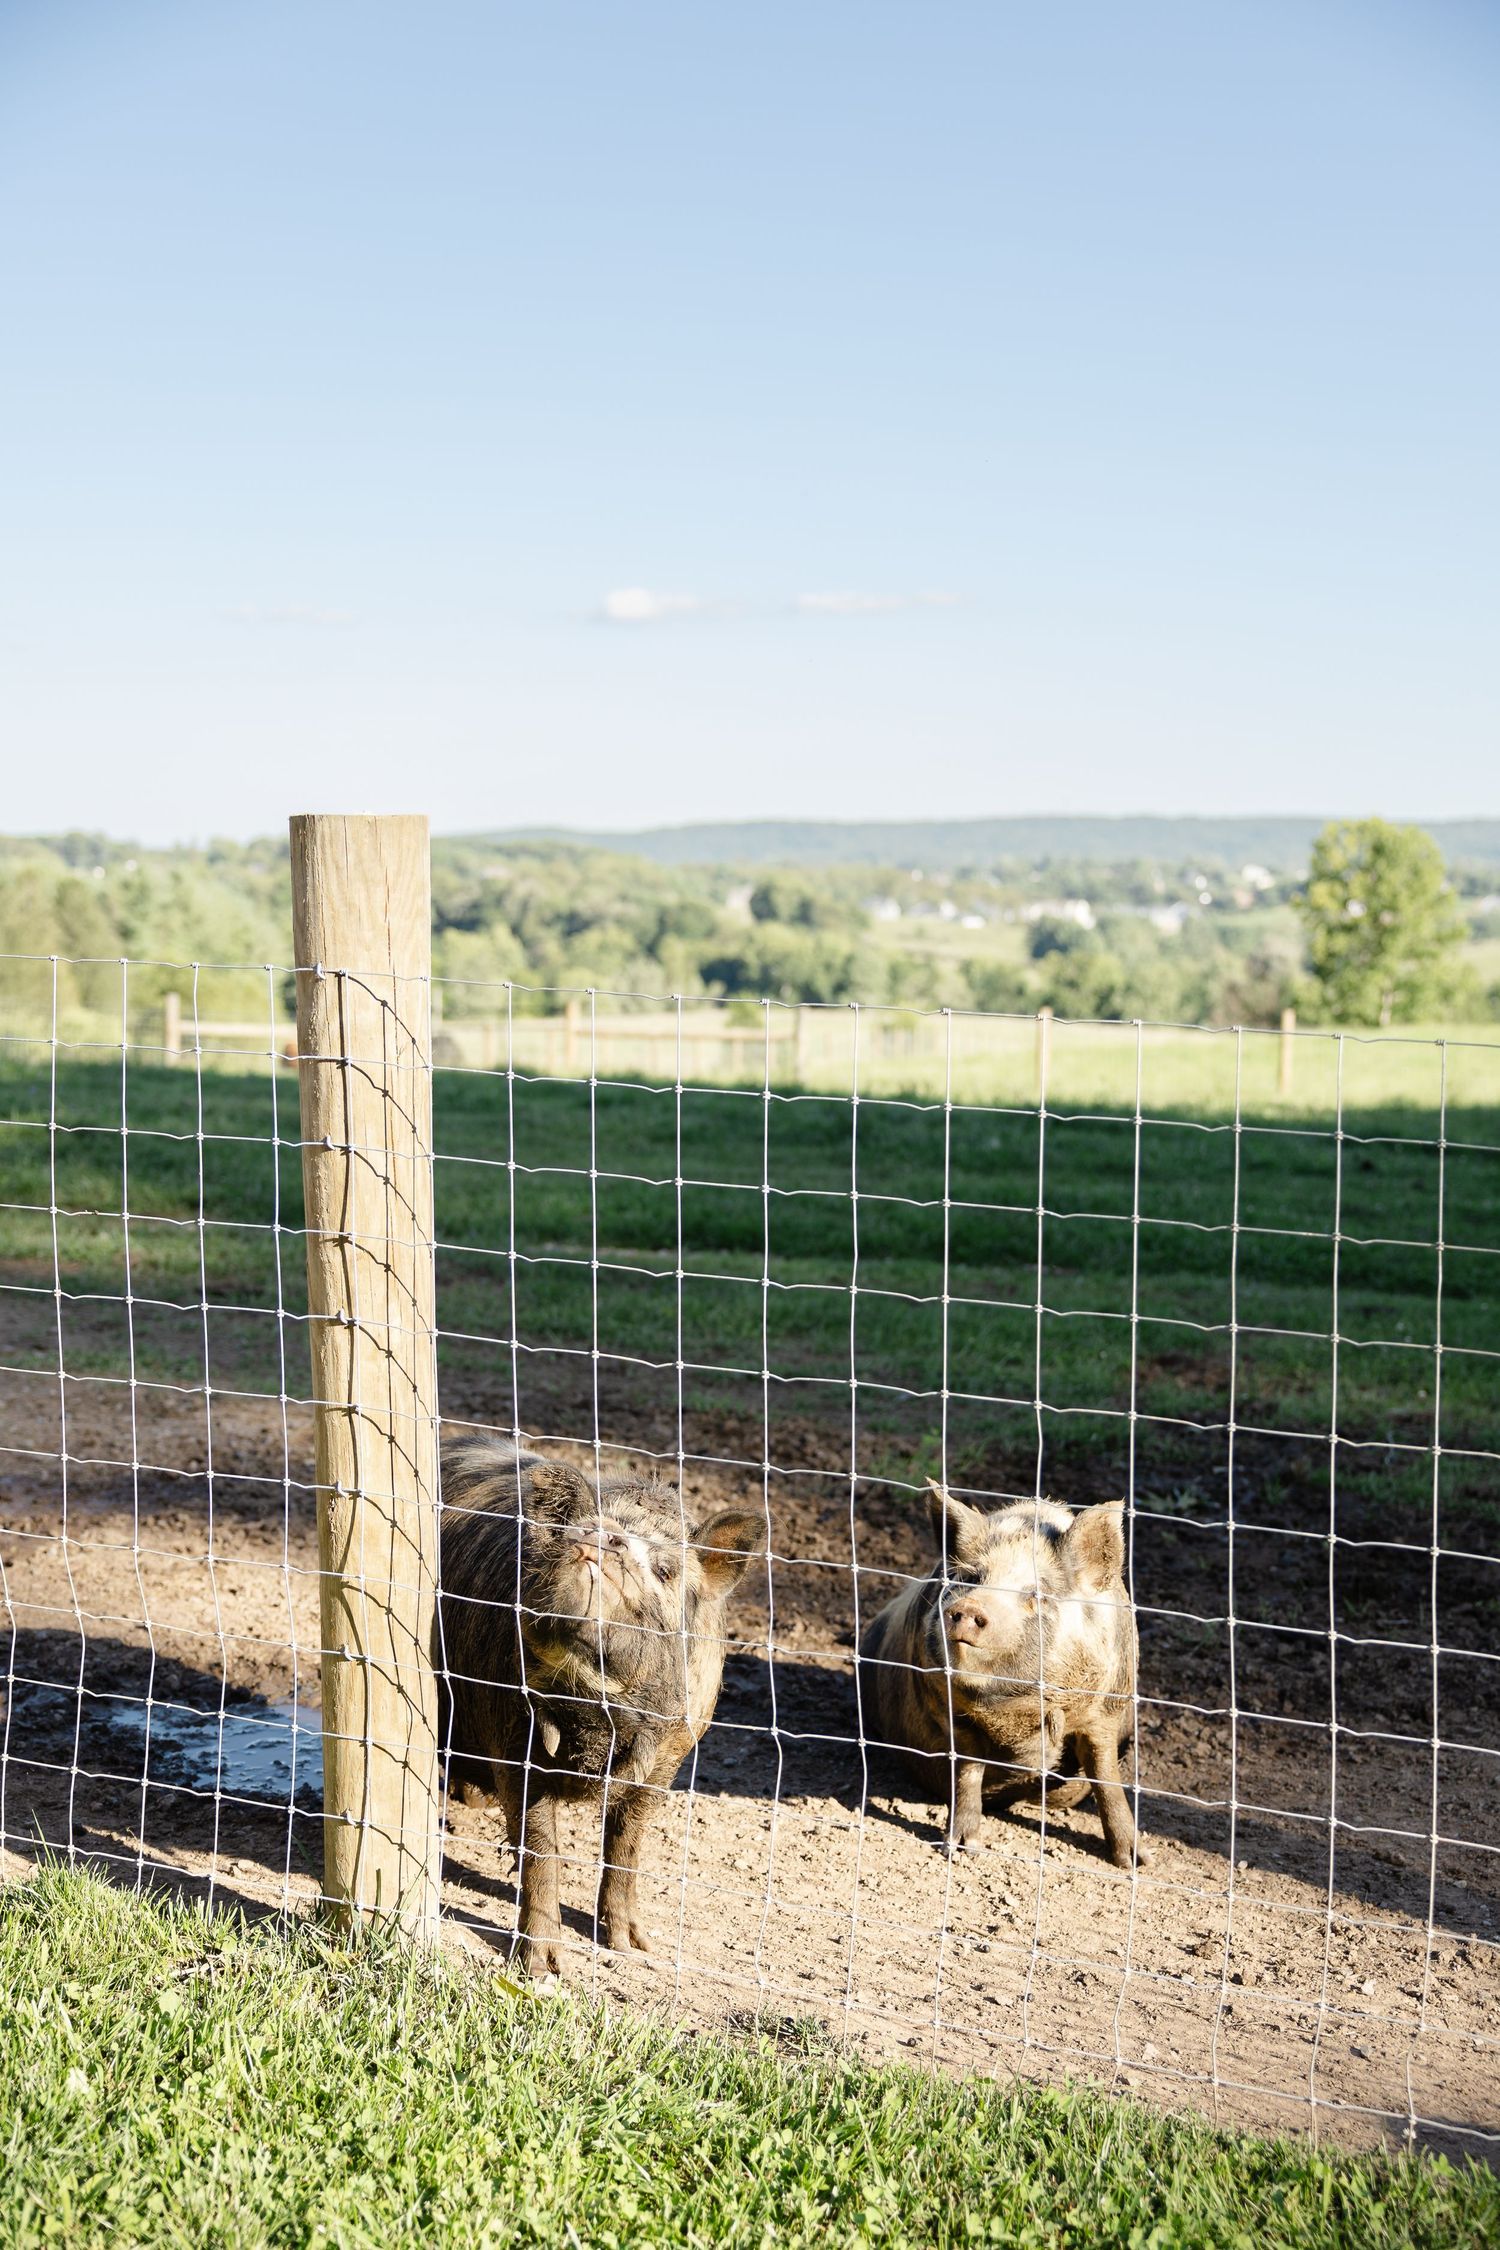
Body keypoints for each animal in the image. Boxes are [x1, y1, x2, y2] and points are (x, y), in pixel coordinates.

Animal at [436, 1436, 763, 1974]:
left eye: (665, 1569)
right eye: (577, 1528)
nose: (600, 1536)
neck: (599, 1711)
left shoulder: (670, 1757)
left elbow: (626, 1843)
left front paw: (632, 1947)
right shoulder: (513, 1738)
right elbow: (540, 1848)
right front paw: (540, 1966)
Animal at [858, 1483, 1149, 1867]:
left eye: (1037, 1594)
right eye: (972, 1579)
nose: (968, 1608)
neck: (1013, 1710)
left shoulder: (1106, 1710)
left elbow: (1106, 1777)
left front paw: (1135, 1862)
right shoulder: (948, 1709)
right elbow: (968, 1770)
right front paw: (960, 1850)